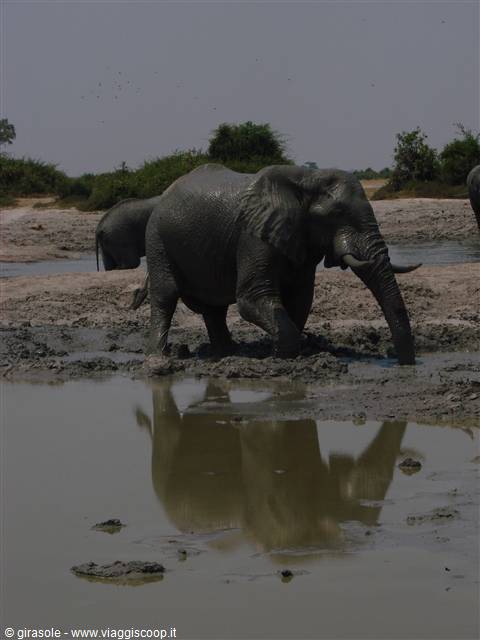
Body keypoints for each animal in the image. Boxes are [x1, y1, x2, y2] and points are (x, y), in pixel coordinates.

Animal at [145, 164, 420, 364]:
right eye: (336, 214)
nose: (400, 361)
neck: (307, 179)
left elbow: (300, 298)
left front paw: (278, 354)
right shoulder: (253, 233)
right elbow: (252, 298)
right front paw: (280, 359)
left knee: (214, 309)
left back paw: (227, 353)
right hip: (156, 239)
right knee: (165, 296)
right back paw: (159, 358)